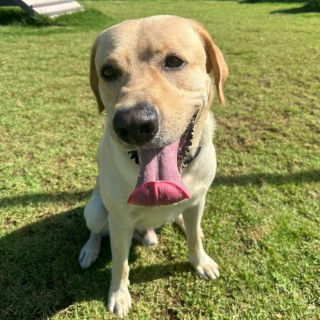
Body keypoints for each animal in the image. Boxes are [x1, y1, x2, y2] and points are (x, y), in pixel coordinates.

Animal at [78, 15, 228, 318]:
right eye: (108, 71)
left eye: (174, 61)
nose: (134, 124)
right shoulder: (119, 222)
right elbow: (120, 264)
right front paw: (119, 294)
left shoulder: (199, 199)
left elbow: (194, 239)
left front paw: (201, 261)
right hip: (96, 210)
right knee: (96, 230)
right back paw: (90, 250)